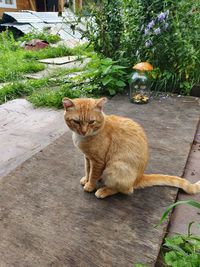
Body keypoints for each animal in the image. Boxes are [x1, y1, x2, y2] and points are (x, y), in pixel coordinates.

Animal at [63, 98, 200, 199]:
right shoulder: (87, 158)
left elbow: (93, 174)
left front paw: (90, 185)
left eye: (91, 122)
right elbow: (87, 170)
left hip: (115, 167)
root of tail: (139, 177)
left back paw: (103, 191)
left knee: (127, 190)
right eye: (76, 121)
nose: (84, 131)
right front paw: (86, 180)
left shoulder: (98, 161)